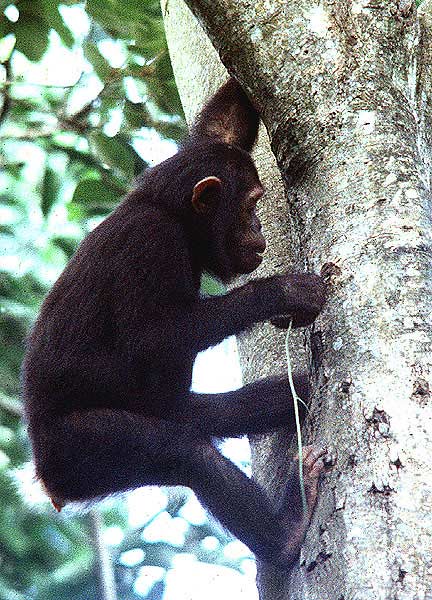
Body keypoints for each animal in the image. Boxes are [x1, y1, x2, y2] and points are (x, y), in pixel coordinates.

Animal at [22, 77, 326, 568]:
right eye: (250, 206)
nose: (259, 228)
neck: (176, 218)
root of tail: (45, 480)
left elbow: (220, 128)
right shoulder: (152, 245)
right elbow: (150, 340)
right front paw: (283, 294)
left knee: (226, 412)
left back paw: (288, 399)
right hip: (79, 451)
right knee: (183, 452)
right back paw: (285, 534)